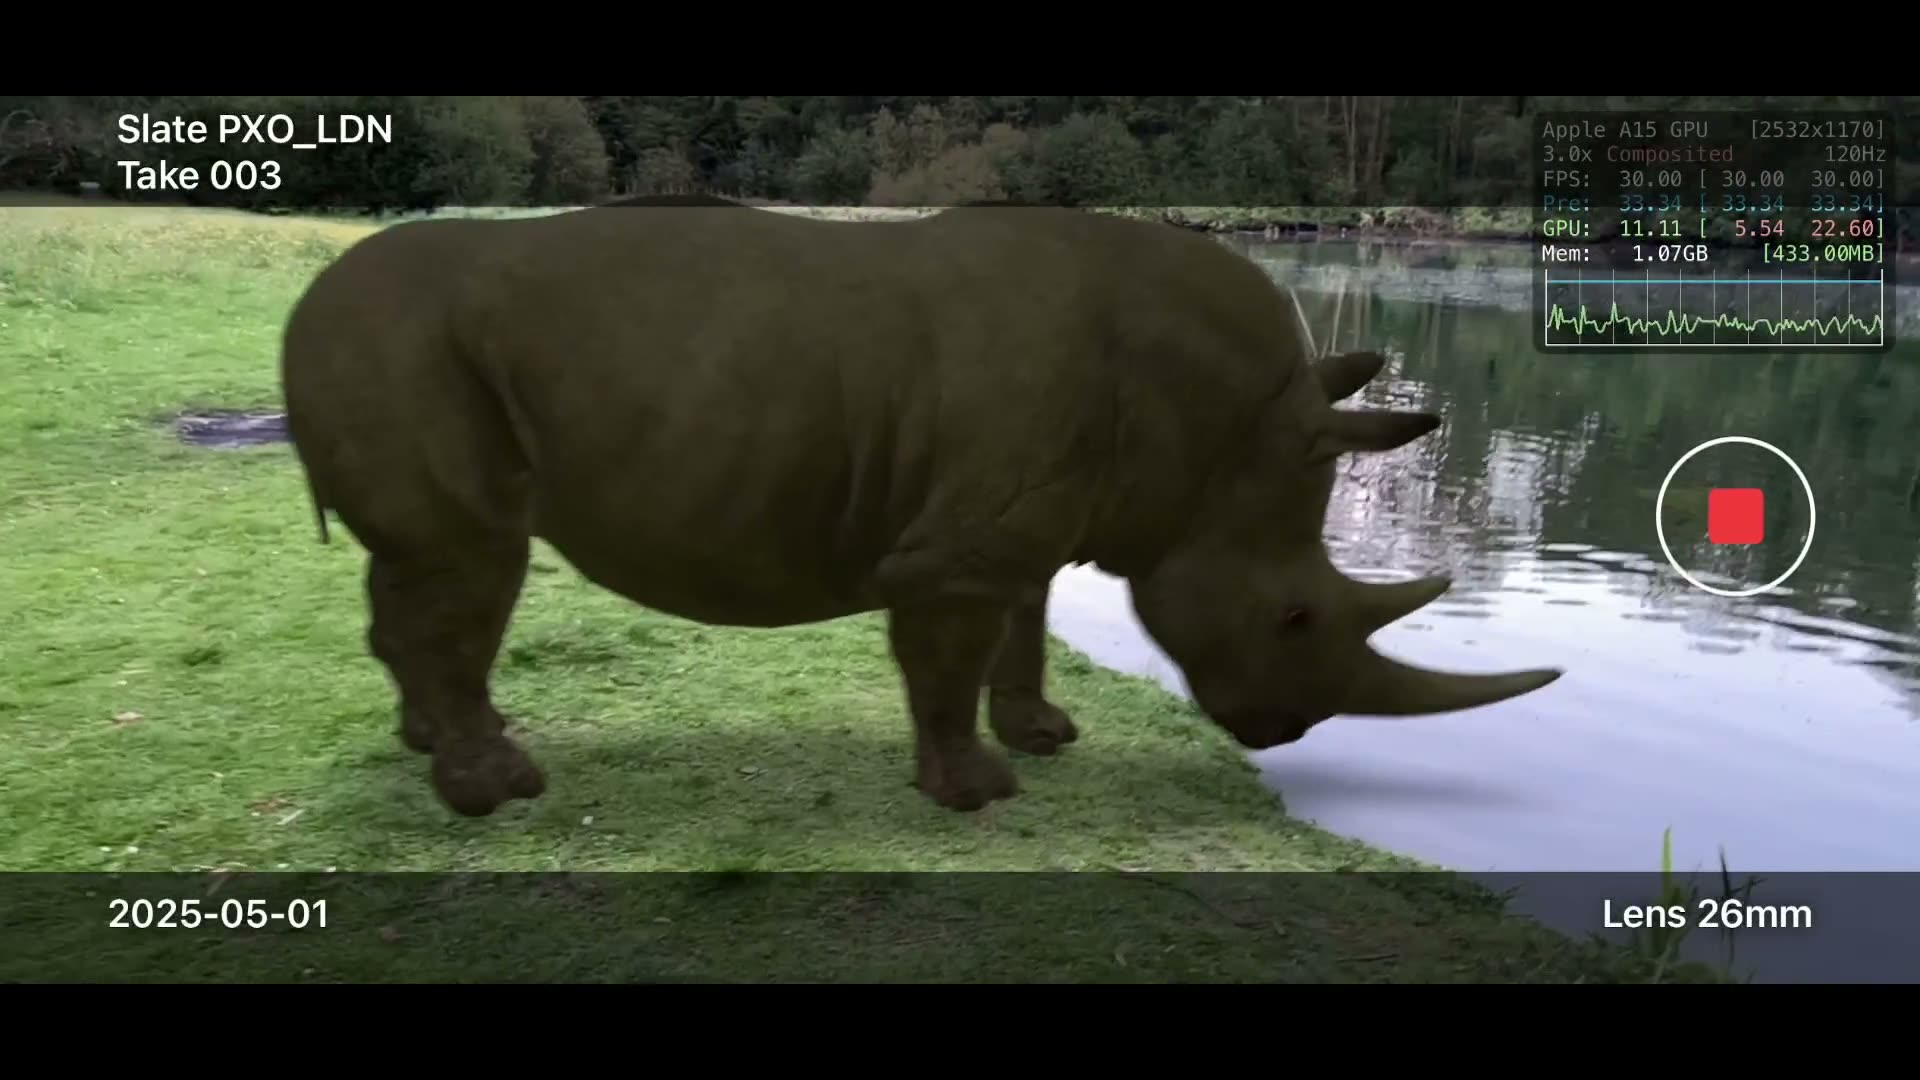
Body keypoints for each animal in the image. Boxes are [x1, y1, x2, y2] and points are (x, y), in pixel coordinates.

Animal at [280, 196, 1562, 818]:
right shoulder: (956, 550)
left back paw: (432, 747)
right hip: (401, 349)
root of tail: (302, 304)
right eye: (1294, 618)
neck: (1217, 442)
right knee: (470, 562)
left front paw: (1043, 737)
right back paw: (499, 794)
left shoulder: (1032, 520)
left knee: (423, 576)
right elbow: (948, 654)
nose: (1285, 734)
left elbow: (1022, 626)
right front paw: (980, 796)